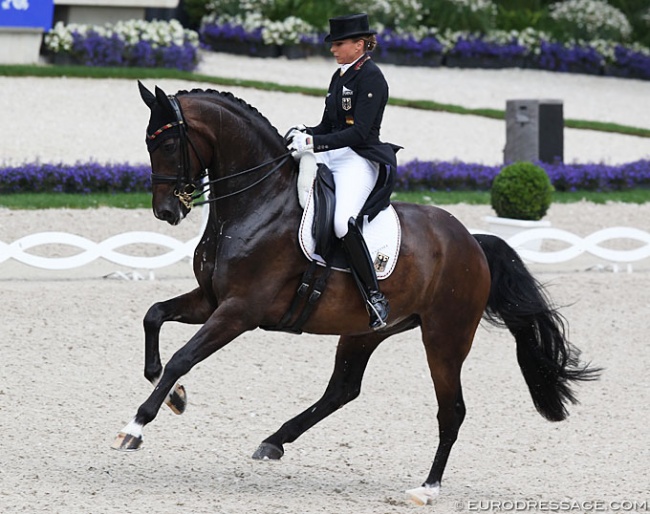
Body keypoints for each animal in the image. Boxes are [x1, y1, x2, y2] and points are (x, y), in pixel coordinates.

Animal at [111, 82, 596, 502]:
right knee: (343, 389)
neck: (258, 204)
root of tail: (472, 242)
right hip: (367, 330)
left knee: (451, 409)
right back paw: (274, 442)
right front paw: (174, 396)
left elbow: (183, 357)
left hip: (445, 338)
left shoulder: (238, 312)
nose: (167, 211)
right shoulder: (211, 300)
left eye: (167, 144)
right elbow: (154, 315)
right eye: (150, 143)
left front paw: (135, 426)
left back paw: (427, 488)